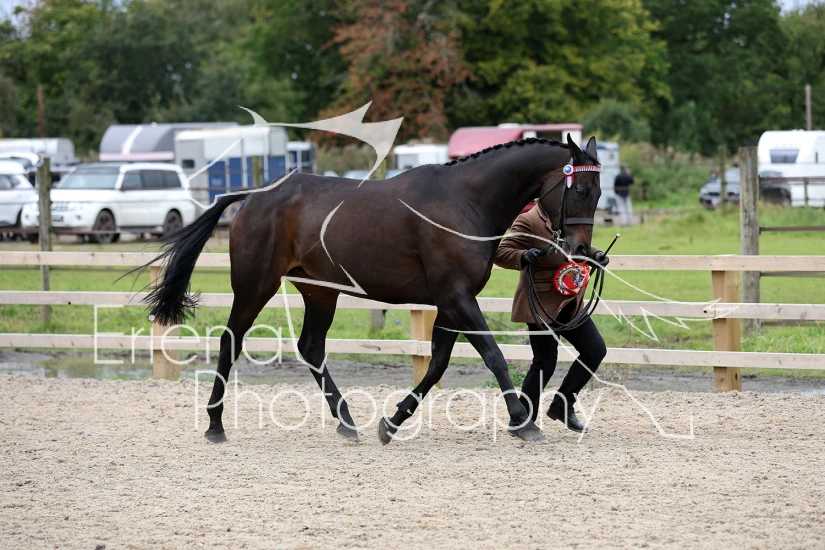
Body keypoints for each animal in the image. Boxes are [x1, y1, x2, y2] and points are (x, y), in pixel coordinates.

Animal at [143, 133, 602, 445]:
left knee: (310, 348)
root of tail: (254, 196)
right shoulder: (457, 297)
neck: (466, 201)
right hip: (256, 285)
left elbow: (436, 366)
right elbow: (493, 357)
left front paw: (391, 423)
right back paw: (215, 425)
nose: (582, 252)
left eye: (598, 193)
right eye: (580, 189)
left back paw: (347, 422)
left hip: (320, 292)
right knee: (230, 341)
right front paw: (523, 423)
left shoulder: (449, 302)